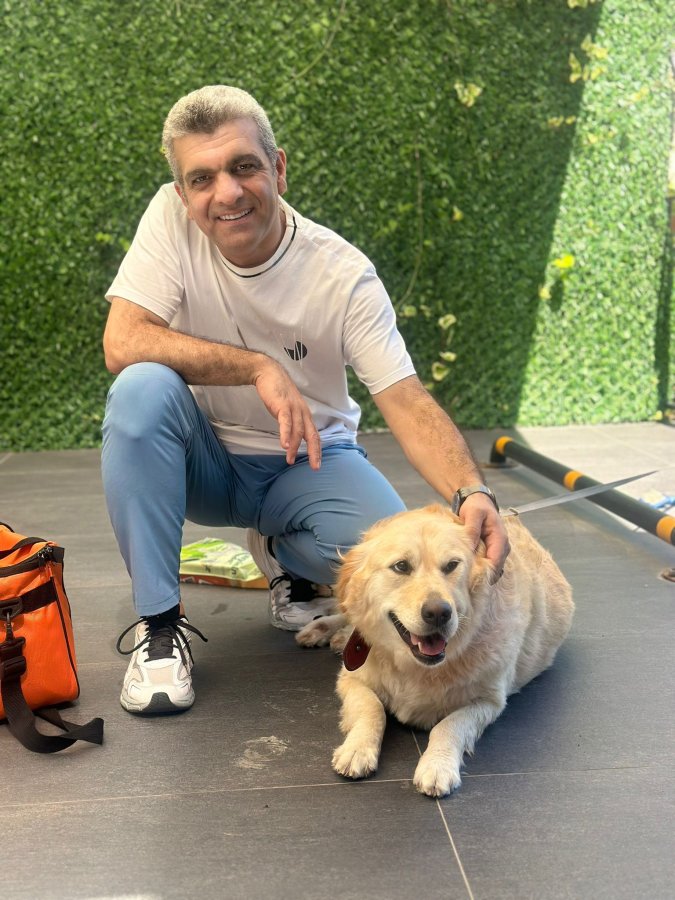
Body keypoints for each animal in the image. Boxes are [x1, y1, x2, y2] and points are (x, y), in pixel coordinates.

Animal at [297, 503, 574, 797]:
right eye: (401, 566)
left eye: (452, 565)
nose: (439, 613)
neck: (415, 666)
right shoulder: (351, 679)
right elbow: (372, 708)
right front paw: (357, 749)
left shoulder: (489, 702)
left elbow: (448, 726)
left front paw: (437, 766)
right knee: (346, 613)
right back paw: (323, 630)